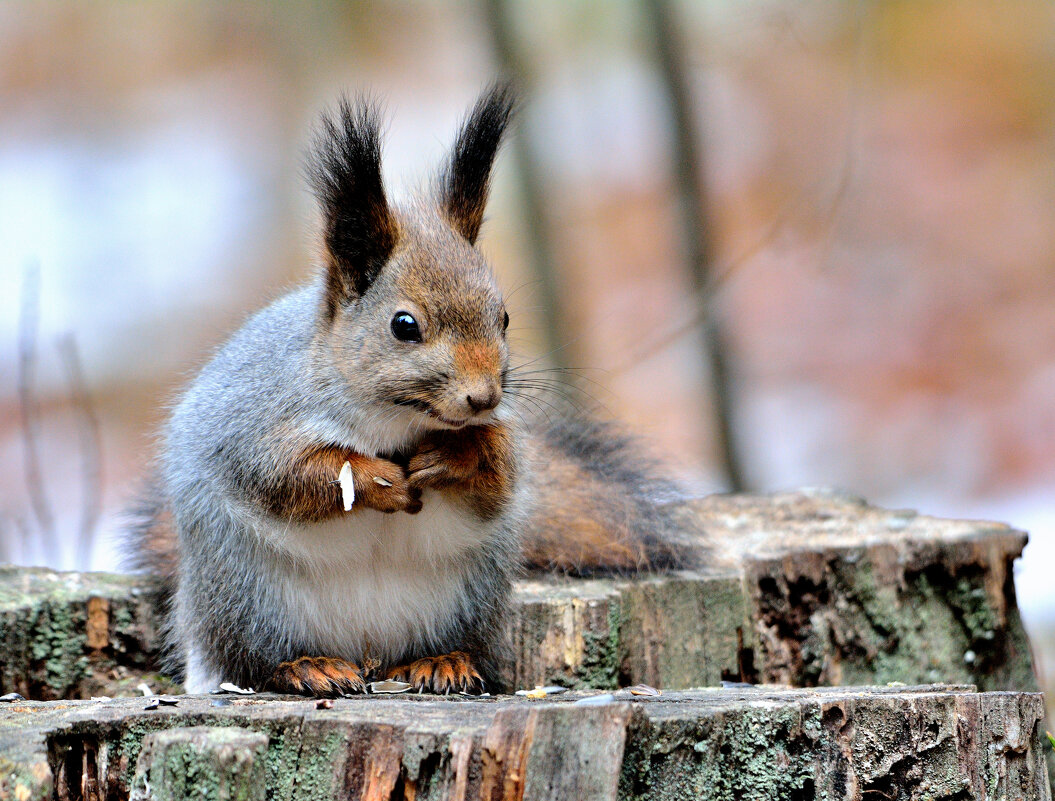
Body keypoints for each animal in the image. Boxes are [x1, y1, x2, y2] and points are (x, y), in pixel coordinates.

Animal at [125, 82, 692, 696]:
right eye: (404, 325)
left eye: (504, 318)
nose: (484, 397)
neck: (397, 419)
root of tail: (368, 650)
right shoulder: (252, 421)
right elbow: (287, 475)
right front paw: (373, 478)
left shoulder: (498, 446)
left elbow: (498, 478)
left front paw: (454, 457)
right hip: (245, 596)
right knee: (251, 661)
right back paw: (307, 666)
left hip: (468, 595)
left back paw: (441, 662)